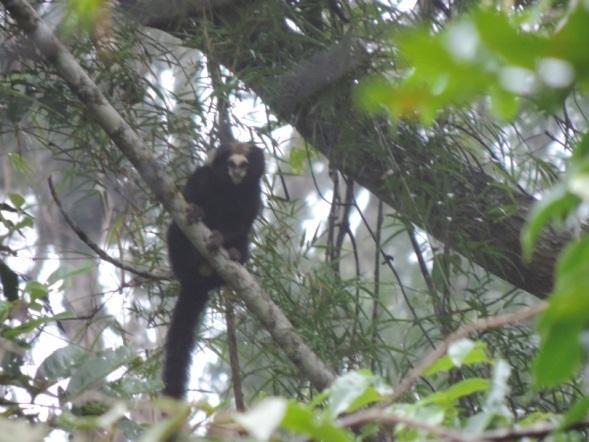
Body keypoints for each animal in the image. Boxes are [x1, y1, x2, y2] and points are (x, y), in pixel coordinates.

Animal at [163, 143, 264, 398]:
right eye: (230, 162)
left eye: (245, 163)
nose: (237, 168)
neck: (231, 188)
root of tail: (196, 283)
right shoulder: (201, 177)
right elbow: (187, 198)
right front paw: (197, 211)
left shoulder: (255, 196)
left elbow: (241, 226)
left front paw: (220, 239)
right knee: (174, 230)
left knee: (244, 245)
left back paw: (235, 255)